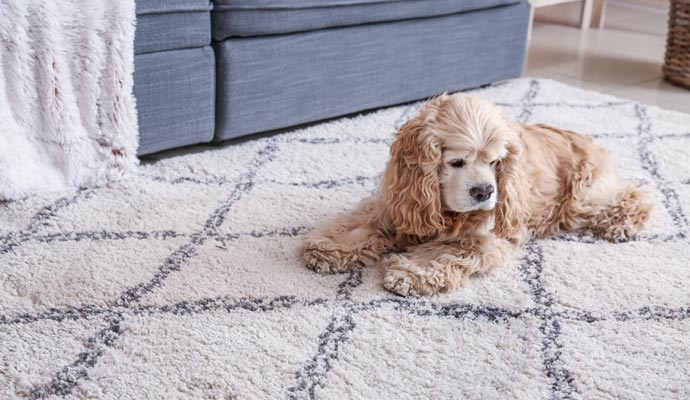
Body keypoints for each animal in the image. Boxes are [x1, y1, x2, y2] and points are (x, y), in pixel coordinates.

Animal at [300, 92, 652, 296]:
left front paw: (411, 272)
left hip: (583, 198)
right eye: (456, 162)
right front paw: (329, 248)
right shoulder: (397, 206)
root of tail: (594, 142)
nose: (484, 191)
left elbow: (447, 252)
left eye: (496, 162)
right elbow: (360, 225)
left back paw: (622, 224)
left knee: (637, 194)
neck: (444, 208)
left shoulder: (484, 238)